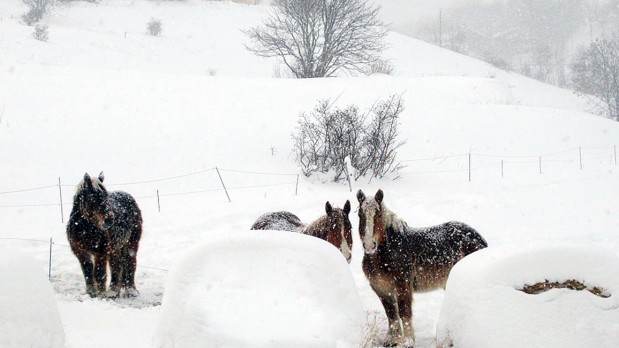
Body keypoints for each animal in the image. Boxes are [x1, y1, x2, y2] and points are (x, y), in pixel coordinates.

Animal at [358, 189, 490, 346]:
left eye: (378, 215)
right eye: (360, 215)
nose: (369, 245)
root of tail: (479, 239)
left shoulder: (403, 287)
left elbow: (404, 313)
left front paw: (408, 341)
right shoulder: (381, 289)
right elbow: (391, 314)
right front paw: (392, 340)